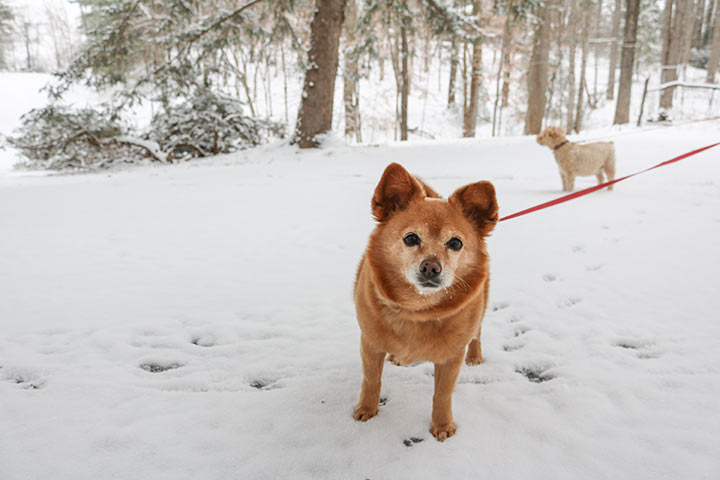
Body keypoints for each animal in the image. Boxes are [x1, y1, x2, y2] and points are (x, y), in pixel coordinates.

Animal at [352, 164, 498, 442]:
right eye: (410, 239)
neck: (417, 310)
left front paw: (442, 425)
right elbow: (371, 380)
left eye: (455, 243)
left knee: (477, 334)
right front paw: (367, 409)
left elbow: (442, 394)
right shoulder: (369, 344)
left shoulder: (451, 358)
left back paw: (475, 356)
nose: (431, 267)